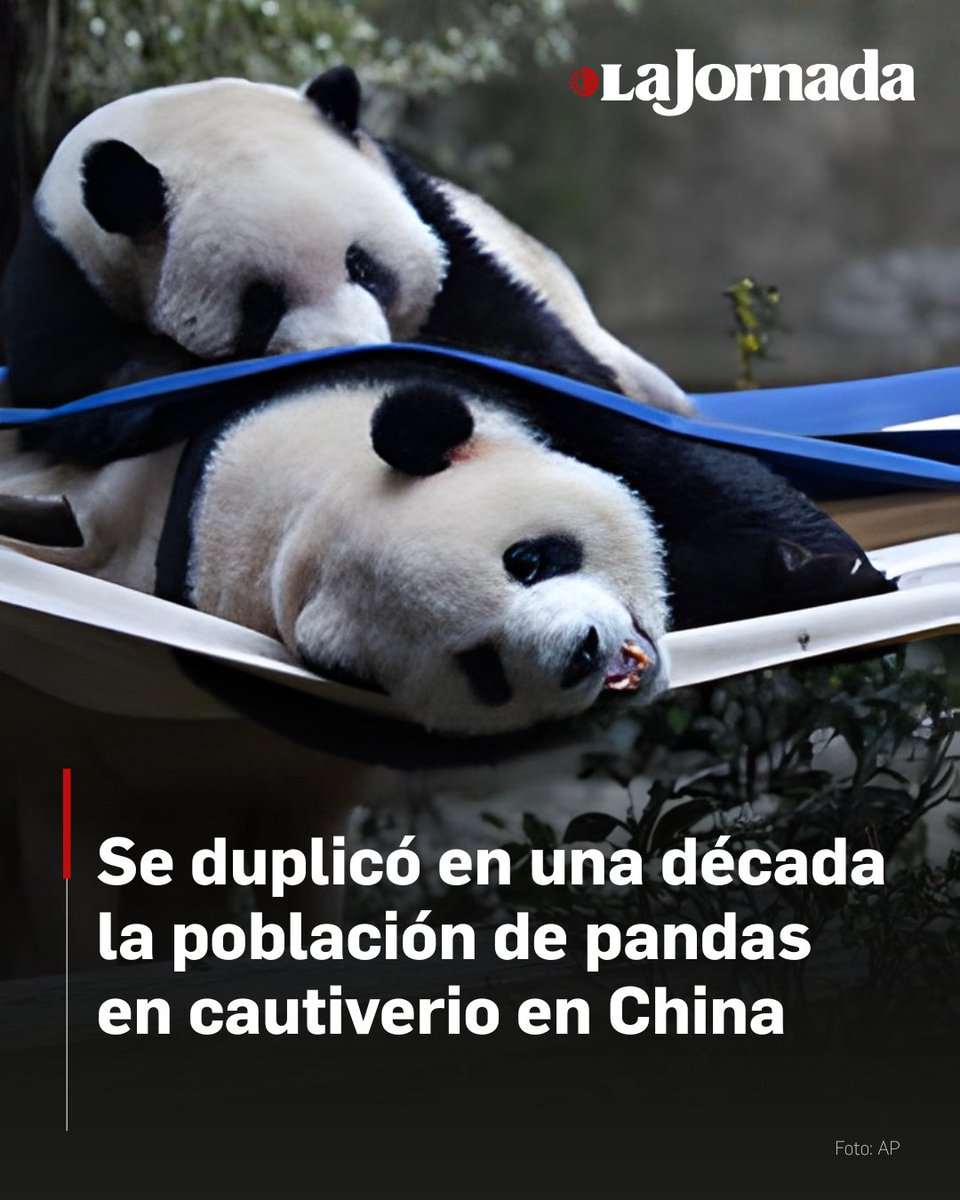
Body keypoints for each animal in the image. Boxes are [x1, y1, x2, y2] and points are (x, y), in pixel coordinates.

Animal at [0, 352, 893, 739]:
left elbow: (688, 475)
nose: (581, 652)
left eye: (527, 561)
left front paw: (835, 576)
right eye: (485, 669)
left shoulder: (491, 389)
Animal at [1, 69, 688, 415]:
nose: (350, 351)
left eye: (365, 267)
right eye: (261, 302)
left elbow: (549, 358)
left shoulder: (450, 235)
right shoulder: (67, 275)